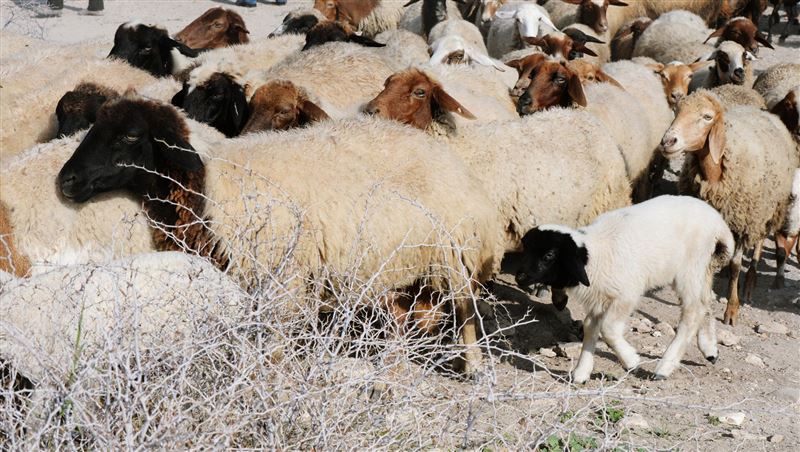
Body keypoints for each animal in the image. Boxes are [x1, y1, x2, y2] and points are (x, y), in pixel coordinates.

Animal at [516, 196, 736, 384]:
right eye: (526, 249)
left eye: (549, 255)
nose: (519, 278)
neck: (594, 256)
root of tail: (719, 223)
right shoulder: (599, 301)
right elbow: (590, 327)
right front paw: (581, 372)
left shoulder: (626, 294)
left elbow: (608, 330)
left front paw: (631, 361)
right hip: (702, 269)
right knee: (705, 303)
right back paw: (710, 350)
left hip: (690, 268)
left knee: (693, 312)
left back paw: (664, 367)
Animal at [656, 90, 800, 326]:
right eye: (677, 110)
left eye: (707, 117)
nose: (668, 141)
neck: (715, 174)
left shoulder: (741, 223)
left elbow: (735, 266)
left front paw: (732, 309)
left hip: (764, 209)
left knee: (759, 241)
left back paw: (750, 281)